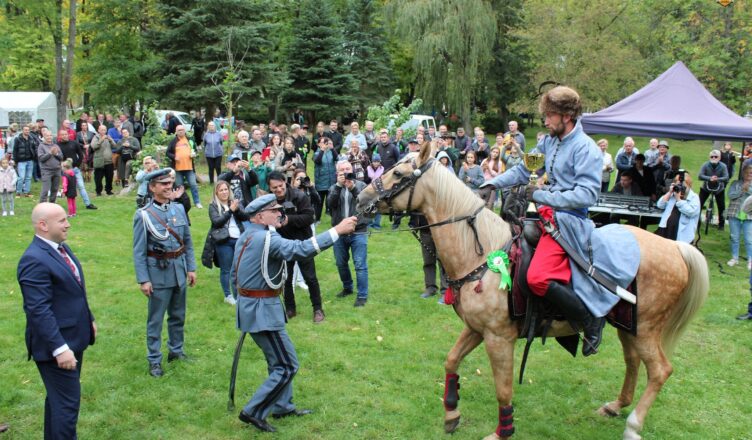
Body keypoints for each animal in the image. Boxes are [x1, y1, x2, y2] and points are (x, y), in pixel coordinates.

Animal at [356, 145, 708, 440]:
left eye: (399, 174)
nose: (361, 198)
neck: (481, 252)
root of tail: (676, 248)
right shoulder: (476, 329)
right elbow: (451, 361)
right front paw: (452, 413)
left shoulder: (499, 338)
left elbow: (503, 389)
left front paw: (502, 432)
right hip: (628, 325)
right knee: (633, 361)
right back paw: (616, 405)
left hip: (646, 329)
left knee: (660, 371)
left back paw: (634, 424)